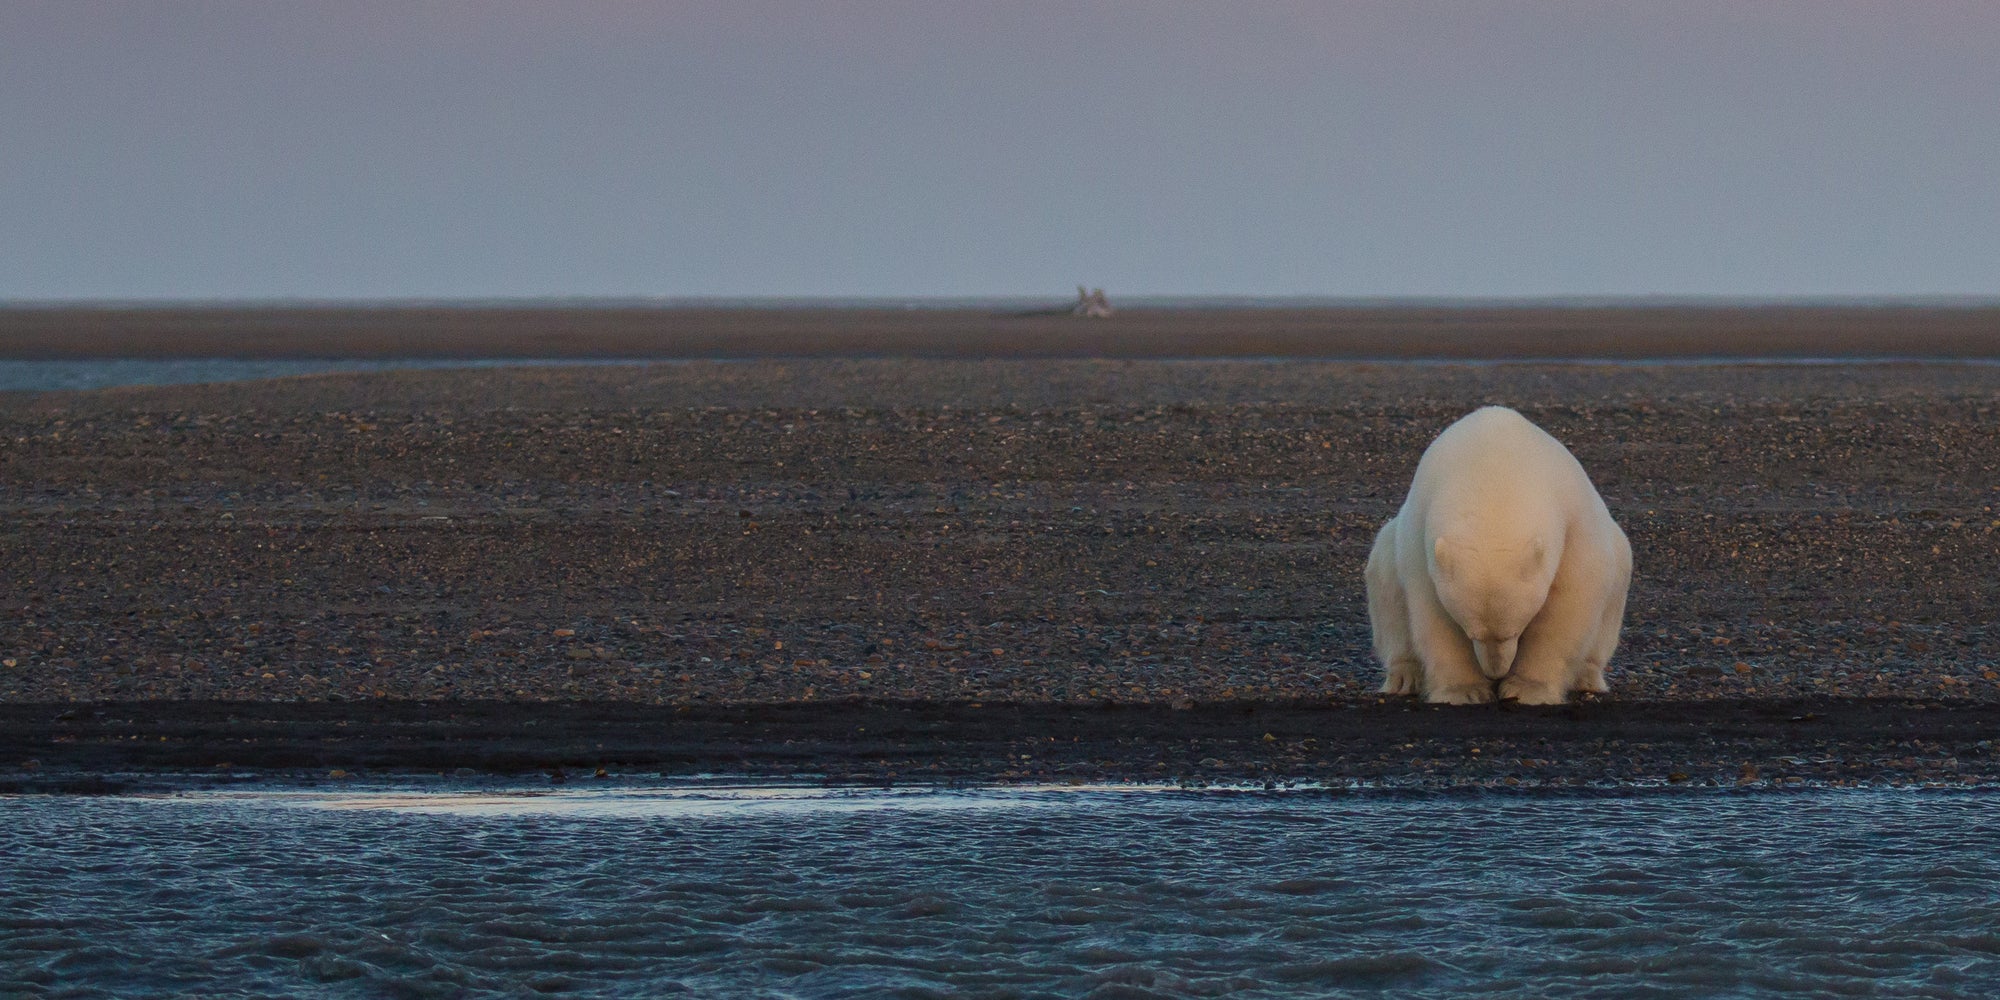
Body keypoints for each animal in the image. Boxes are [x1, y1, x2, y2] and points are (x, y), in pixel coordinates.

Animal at [1365, 406, 1631, 705]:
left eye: (1514, 631)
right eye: (1471, 632)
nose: (1495, 673)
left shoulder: (1574, 524)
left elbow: (1566, 609)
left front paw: (1528, 689)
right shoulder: (1420, 540)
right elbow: (1433, 615)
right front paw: (1464, 691)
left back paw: (1587, 678)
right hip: (1388, 552)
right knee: (1386, 589)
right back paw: (1404, 677)